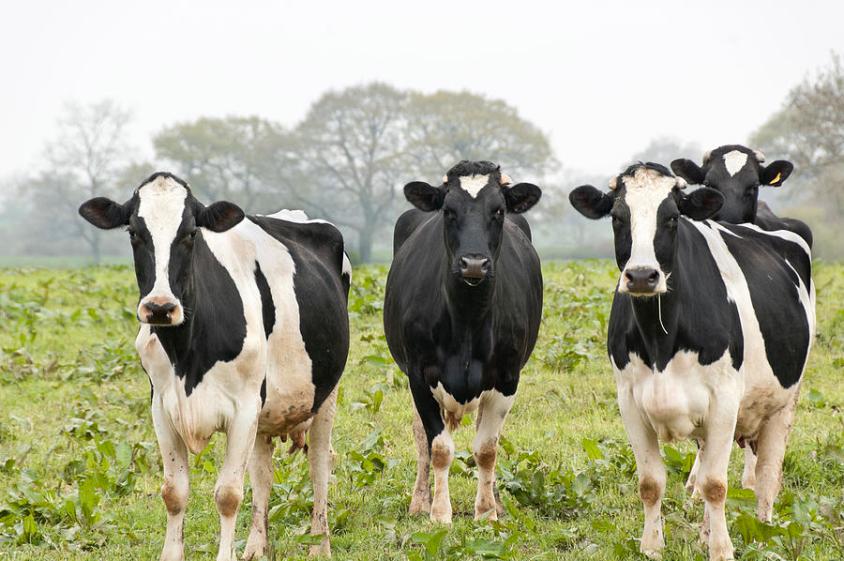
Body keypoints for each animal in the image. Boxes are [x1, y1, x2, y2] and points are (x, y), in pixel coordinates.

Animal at [78, 172, 350, 561]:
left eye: (191, 233)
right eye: (133, 232)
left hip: (325, 393)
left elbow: (229, 494)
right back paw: (255, 547)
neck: (187, 356)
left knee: (319, 466)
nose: (159, 307)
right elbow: (174, 492)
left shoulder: (244, 408)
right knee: (263, 474)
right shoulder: (162, 407)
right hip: (266, 414)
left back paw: (320, 544)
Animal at [383, 160, 543, 524]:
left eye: (498, 211)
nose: (473, 263)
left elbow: (487, 449)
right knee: (421, 438)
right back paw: (420, 500)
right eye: (449, 211)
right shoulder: (420, 375)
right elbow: (439, 447)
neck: (468, 318)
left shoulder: (507, 377)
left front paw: (486, 512)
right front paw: (440, 513)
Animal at [568, 163, 814, 561]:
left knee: (766, 474)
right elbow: (651, 483)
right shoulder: (629, 401)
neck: (660, 338)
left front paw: (722, 550)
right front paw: (652, 547)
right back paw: (704, 533)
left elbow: (715, 483)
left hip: (784, 402)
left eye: (671, 218)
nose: (642, 275)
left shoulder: (724, 400)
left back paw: (763, 534)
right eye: (618, 217)